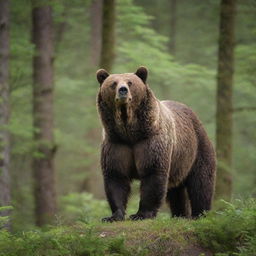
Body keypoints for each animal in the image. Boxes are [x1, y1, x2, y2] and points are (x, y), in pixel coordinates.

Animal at [96, 67, 216, 221]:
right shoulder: (116, 143)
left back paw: (199, 214)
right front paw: (113, 215)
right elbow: (116, 176)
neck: (130, 131)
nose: (123, 90)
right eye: (113, 83)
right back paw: (179, 215)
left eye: (130, 82)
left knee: (201, 183)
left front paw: (141, 214)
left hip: (197, 149)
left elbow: (152, 173)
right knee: (176, 191)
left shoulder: (151, 141)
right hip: (178, 163)